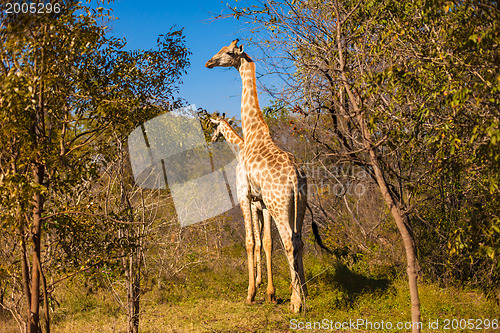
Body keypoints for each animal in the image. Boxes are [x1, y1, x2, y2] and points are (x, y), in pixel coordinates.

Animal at [209, 115, 276, 302]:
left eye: (214, 127)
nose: (212, 139)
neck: (240, 151)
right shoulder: (259, 207)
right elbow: (262, 241)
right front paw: (260, 282)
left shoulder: (251, 204)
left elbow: (254, 241)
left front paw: (254, 285)